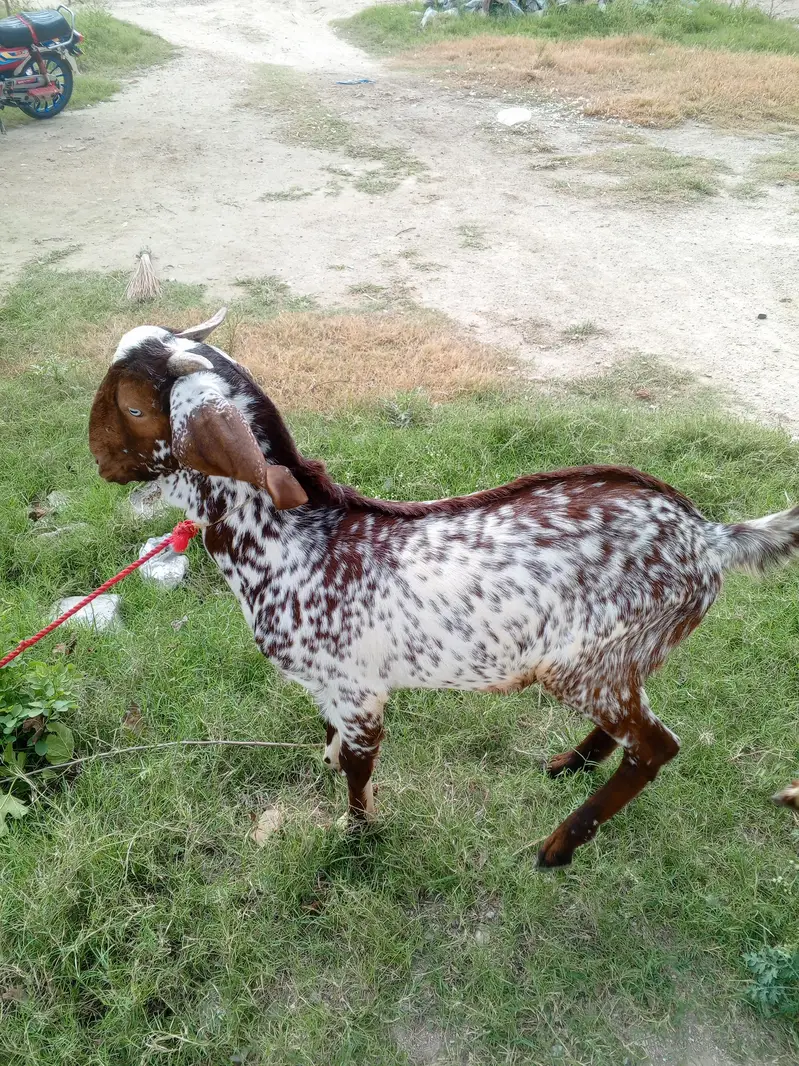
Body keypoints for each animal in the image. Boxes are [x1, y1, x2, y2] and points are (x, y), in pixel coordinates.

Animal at [89, 309, 799, 868]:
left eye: (134, 407)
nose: (96, 458)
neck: (297, 543)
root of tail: (708, 537)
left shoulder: (359, 691)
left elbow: (358, 768)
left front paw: (357, 833)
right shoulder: (327, 687)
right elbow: (331, 743)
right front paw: (330, 769)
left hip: (582, 665)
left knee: (657, 746)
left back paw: (558, 846)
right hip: (626, 654)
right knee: (629, 726)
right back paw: (567, 767)